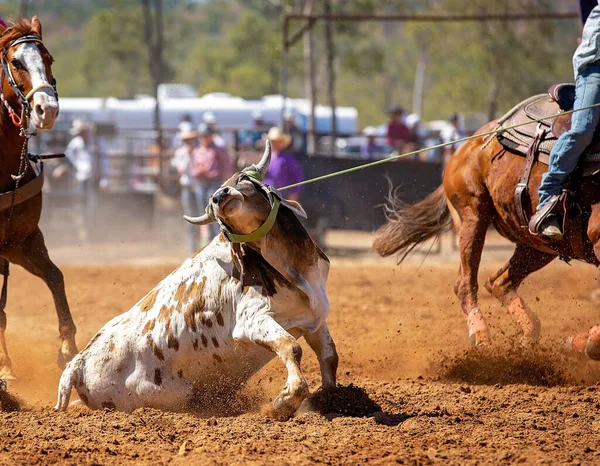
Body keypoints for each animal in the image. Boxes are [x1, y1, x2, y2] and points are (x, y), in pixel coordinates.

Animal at [55, 142, 338, 418]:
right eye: (213, 204)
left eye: (241, 178)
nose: (219, 196)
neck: (291, 267)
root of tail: (78, 363)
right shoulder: (253, 320)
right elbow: (291, 347)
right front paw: (283, 402)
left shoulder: (313, 317)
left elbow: (329, 356)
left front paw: (330, 399)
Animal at [372, 116, 600, 360]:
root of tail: (468, 144)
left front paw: (587, 341)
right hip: (473, 215)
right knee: (465, 284)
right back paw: (481, 335)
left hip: (539, 246)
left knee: (499, 283)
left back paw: (540, 339)